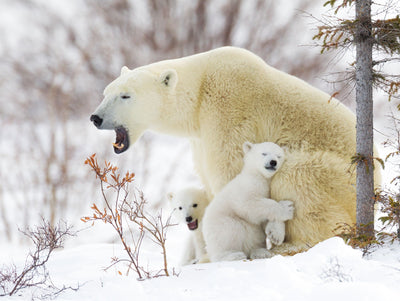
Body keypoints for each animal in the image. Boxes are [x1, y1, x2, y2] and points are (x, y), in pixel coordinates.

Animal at [89, 46, 380, 253]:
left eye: (125, 95)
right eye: (105, 92)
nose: (95, 117)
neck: (199, 91)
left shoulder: (229, 110)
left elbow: (232, 175)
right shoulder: (200, 136)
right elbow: (208, 176)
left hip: (343, 178)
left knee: (298, 176)